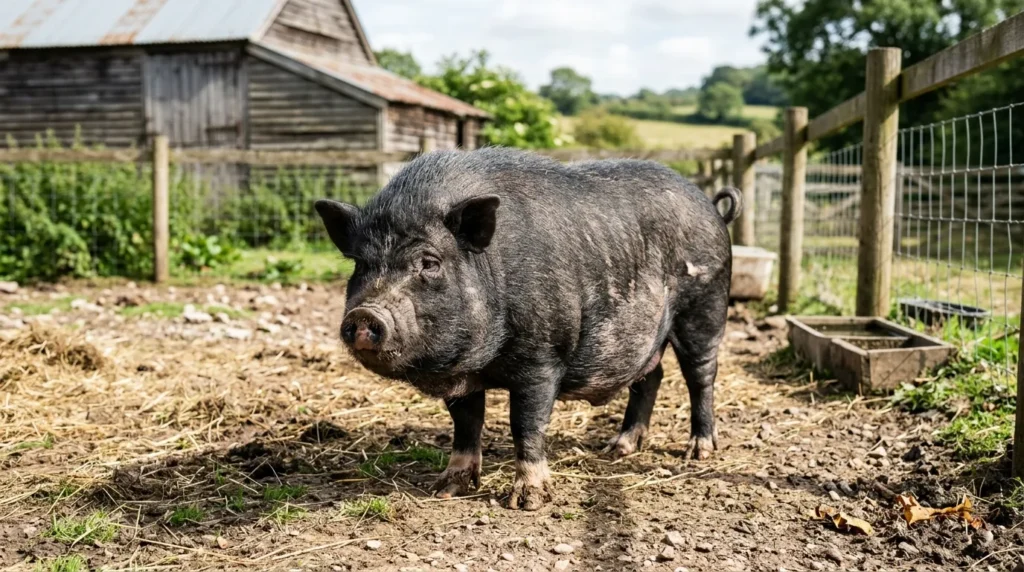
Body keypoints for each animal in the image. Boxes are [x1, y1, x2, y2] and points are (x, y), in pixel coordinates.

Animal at [315, 147, 741, 510]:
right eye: (360, 265)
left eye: (430, 262)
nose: (365, 315)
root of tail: (712, 208)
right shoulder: (461, 374)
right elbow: (465, 426)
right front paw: (445, 489)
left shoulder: (543, 358)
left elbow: (526, 424)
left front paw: (527, 501)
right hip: (649, 335)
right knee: (652, 376)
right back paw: (618, 448)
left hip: (705, 306)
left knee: (701, 375)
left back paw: (699, 450)